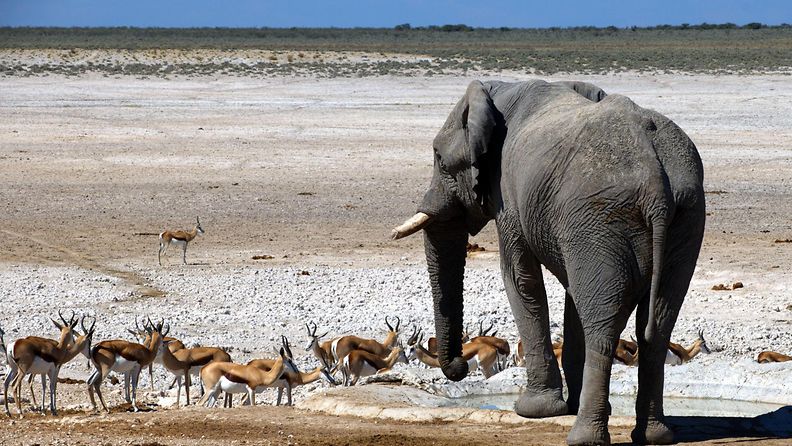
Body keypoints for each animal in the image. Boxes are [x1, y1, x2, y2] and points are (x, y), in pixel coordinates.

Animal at [392, 81, 704, 446]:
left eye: (440, 159)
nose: (459, 367)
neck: (497, 92)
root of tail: (655, 183)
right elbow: (572, 295)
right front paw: (566, 405)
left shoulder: (510, 196)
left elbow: (520, 279)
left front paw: (533, 410)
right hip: (683, 217)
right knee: (657, 324)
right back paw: (653, 436)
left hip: (606, 214)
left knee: (604, 325)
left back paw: (584, 438)